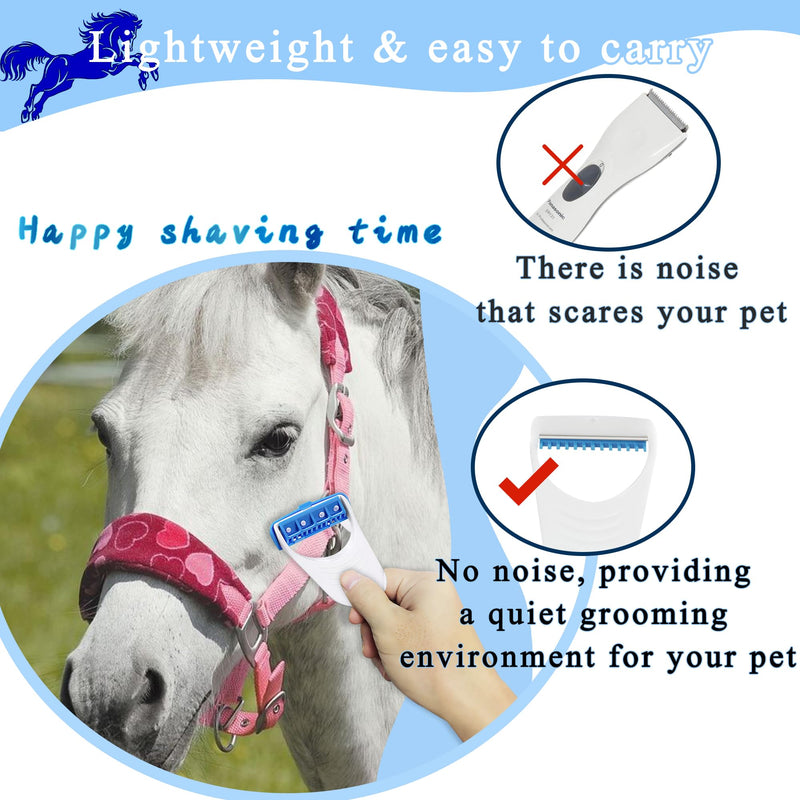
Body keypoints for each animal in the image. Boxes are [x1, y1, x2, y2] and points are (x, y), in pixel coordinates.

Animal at [0, 11, 158, 123]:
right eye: (128, 32)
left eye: (134, 34)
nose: (129, 47)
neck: (105, 46)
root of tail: (52, 57)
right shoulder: (111, 68)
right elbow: (134, 60)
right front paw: (145, 78)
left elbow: (139, 57)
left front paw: (150, 74)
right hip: (53, 79)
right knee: (35, 87)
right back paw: (26, 112)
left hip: (65, 84)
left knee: (45, 94)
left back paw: (35, 113)